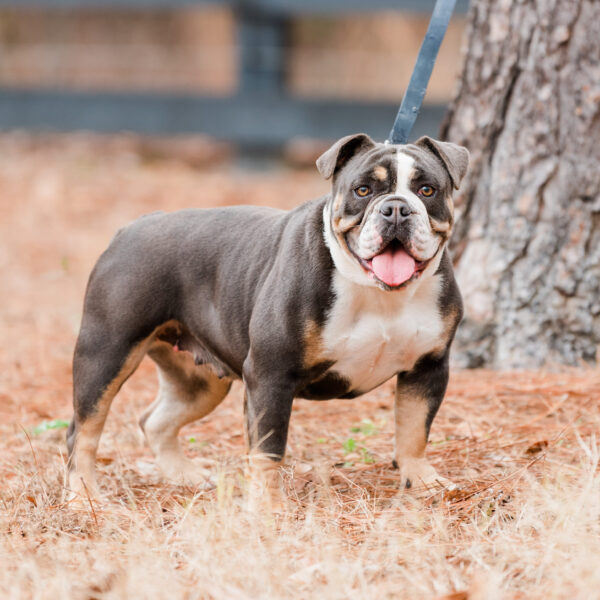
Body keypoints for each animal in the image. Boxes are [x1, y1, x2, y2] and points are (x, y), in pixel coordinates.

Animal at [67, 134, 468, 504]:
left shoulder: (427, 368)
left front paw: (422, 480)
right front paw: (268, 506)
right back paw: (83, 494)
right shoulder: (270, 375)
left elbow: (414, 428)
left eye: (428, 190)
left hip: (199, 382)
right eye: (363, 190)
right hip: (107, 352)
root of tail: (131, 228)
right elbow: (268, 448)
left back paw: (184, 475)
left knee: (156, 420)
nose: (397, 208)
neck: (378, 291)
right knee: (83, 430)